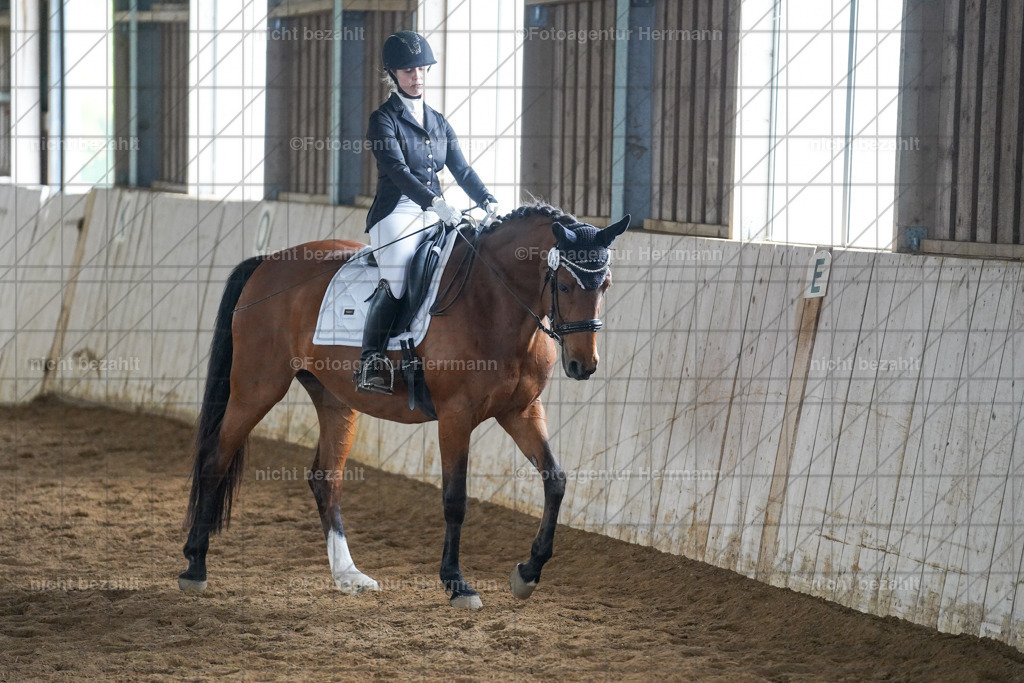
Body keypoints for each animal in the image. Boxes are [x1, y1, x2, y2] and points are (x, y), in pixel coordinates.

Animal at [179, 203, 630, 609]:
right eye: (565, 285)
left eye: (605, 284)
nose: (583, 365)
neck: (493, 301)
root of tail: (267, 262)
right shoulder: (455, 415)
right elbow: (455, 499)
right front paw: (456, 583)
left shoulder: (520, 411)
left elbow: (556, 481)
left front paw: (528, 572)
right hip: (257, 387)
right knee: (216, 457)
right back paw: (195, 566)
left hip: (336, 400)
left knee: (325, 478)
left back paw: (349, 575)